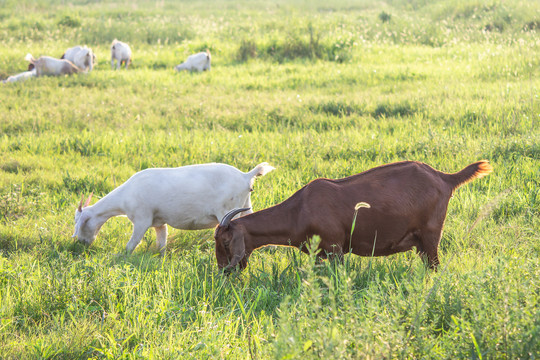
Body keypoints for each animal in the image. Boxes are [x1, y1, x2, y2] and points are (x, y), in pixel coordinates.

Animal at [72, 163, 274, 253]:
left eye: (82, 223)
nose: (81, 243)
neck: (125, 196)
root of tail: (245, 176)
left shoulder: (142, 219)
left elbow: (132, 244)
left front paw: (122, 257)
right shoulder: (158, 222)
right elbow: (161, 242)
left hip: (229, 211)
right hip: (246, 206)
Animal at [215, 160, 494, 272]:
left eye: (226, 242)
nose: (223, 272)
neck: (298, 211)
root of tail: (445, 178)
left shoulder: (336, 248)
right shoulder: (319, 253)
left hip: (431, 234)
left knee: (434, 265)